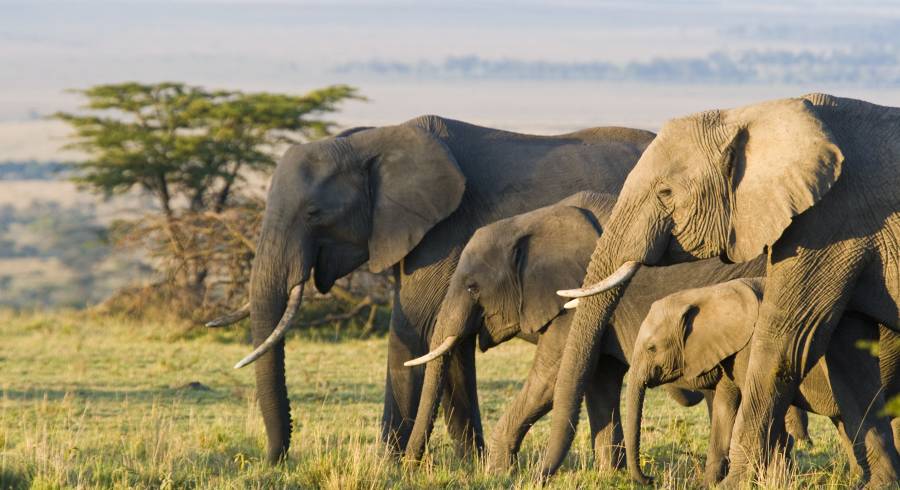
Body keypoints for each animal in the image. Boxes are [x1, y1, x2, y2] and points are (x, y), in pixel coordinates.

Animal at [207, 116, 652, 464]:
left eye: (314, 214)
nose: (275, 460)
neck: (371, 141)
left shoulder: (444, 233)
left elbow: (416, 330)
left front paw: (388, 467)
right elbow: (447, 344)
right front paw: (469, 465)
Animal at [624, 278, 900, 488]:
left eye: (651, 348)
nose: (650, 478)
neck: (708, 294)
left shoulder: (751, 347)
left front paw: (774, 482)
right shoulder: (730, 351)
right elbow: (725, 408)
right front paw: (707, 485)